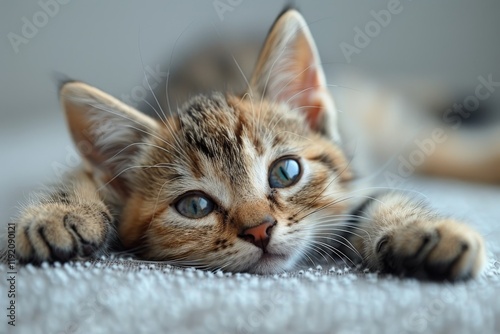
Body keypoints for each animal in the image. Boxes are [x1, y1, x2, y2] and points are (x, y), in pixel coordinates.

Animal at [14, 9, 484, 280]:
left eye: (286, 172)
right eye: (195, 205)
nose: (260, 230)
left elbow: (382, 201)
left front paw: (424, 233)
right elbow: (76, 173)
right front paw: (57, 216)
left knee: (437, 142)